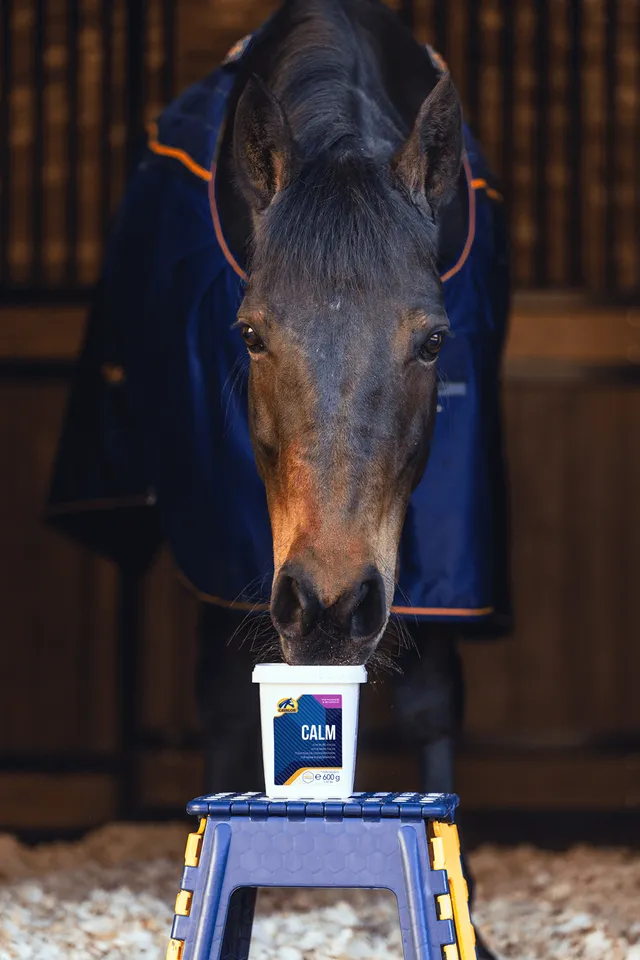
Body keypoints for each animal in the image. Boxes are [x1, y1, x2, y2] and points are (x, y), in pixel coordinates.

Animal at [48, 2, 510, 954]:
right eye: (251, 334)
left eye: (434, 342)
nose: (329, 607)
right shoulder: (218, 515)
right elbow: (229, 699)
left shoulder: (450, 526)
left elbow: (433, 697)